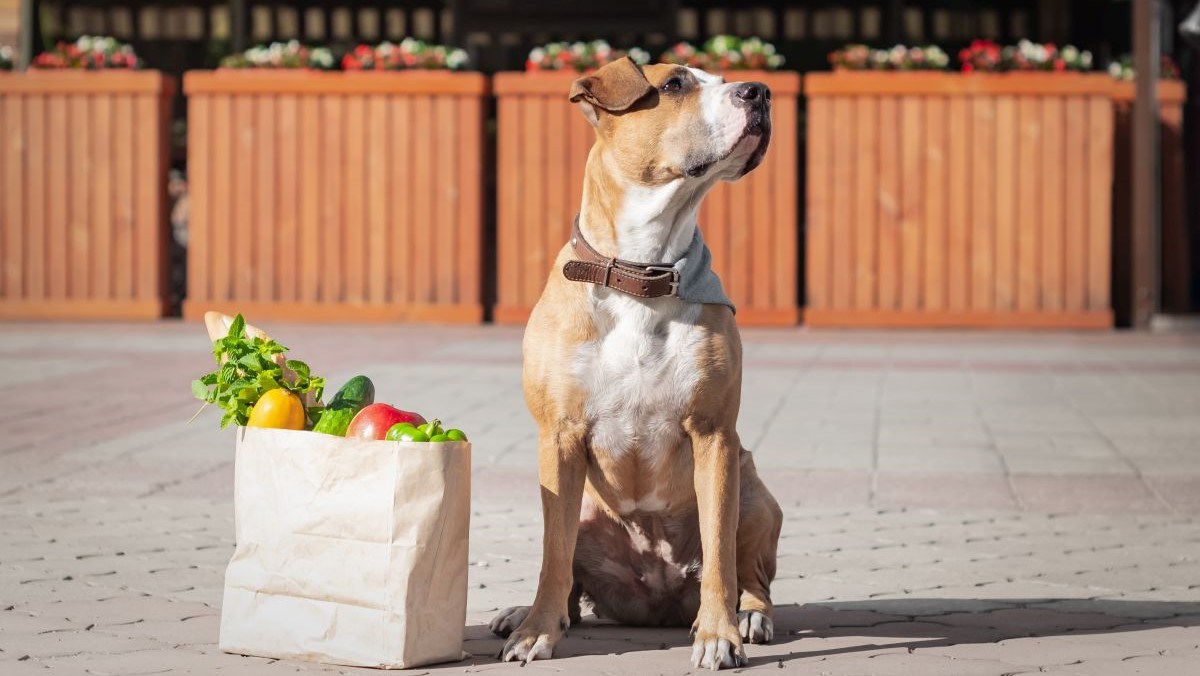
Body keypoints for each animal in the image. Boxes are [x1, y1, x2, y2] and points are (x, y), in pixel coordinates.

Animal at [489, 58, 782, 672]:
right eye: (673, 84)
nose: (761, 91)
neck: (640, 273)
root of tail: (652, 600)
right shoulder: (559, 436)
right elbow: (553, 555)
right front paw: (534, 632)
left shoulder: (714, 435)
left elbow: (719, 557)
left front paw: (719, 635)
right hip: (579, 503)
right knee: (567, 569)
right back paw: (528, 613)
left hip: (750, 488)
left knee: (749, 571)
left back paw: (750, 615)